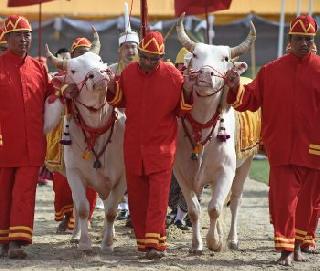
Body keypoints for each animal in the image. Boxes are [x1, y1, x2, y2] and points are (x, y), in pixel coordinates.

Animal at [43, 47, 125, 253]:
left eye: (100, 60)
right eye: (73, 70)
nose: (100, 74)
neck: (97, 128)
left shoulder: (122, 176)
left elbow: (111, 211)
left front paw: (107, 243)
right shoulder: (74, 173)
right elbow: (82, 208)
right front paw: (85, 243)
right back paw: (76, 234)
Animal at [172, 14, 260, 253]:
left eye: (225, 57)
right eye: (195, 54)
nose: (205, 74)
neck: (203, 124)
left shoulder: (226, 171)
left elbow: (215, 208)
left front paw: (214, 242)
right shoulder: (182, 173)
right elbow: (194, 209)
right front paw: (197, 244)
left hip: (246, 163)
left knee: (235, 200)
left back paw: (231, 239)